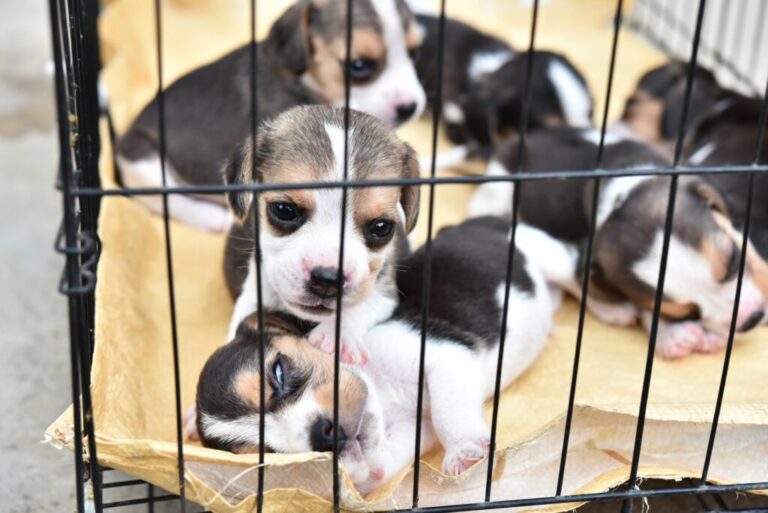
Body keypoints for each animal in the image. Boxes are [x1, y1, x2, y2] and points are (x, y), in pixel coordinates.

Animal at [115, 0, 426, 230]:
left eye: (414, 52)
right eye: (359, 65)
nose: (410, 107)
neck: (305, 79)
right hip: (141, 158)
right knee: (164, 198)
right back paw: (213, 218)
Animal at [196, 217, 560, 496]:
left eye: (279, 373)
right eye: (271, 453)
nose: (322, 434)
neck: (381, 391)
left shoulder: (444, 353)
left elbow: (448, 411)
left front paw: (464, 450)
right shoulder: (414, 429)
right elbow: (384, 461)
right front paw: (361, 468)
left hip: (549, 253)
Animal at [222, 106, 420, 366]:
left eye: (381, 227)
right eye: (284, 210)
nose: (328, 279)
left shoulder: (385, 291)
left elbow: (363, 304)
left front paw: (337, 334)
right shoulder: (254, 292)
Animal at [472, 127, 764, 358]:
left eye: (732, 260)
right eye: (685, 313)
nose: (752, 319)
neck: (625, 186)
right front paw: (672, 333)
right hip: (499, 202)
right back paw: (613, 309)